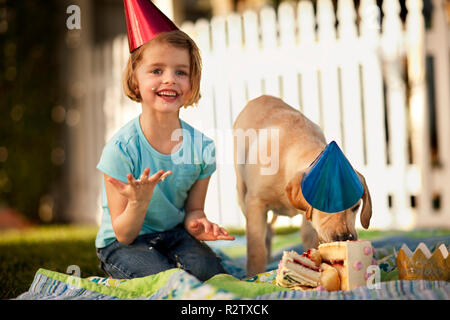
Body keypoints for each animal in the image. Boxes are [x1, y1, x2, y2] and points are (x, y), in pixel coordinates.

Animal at [232, 95, 372, 278]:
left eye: (356, 207)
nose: (346, 237)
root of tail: (260, 97)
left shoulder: (309, 218)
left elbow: (309, 236)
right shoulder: (255, 203)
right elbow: (256, 247)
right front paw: (254, 275)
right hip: (242, 194)